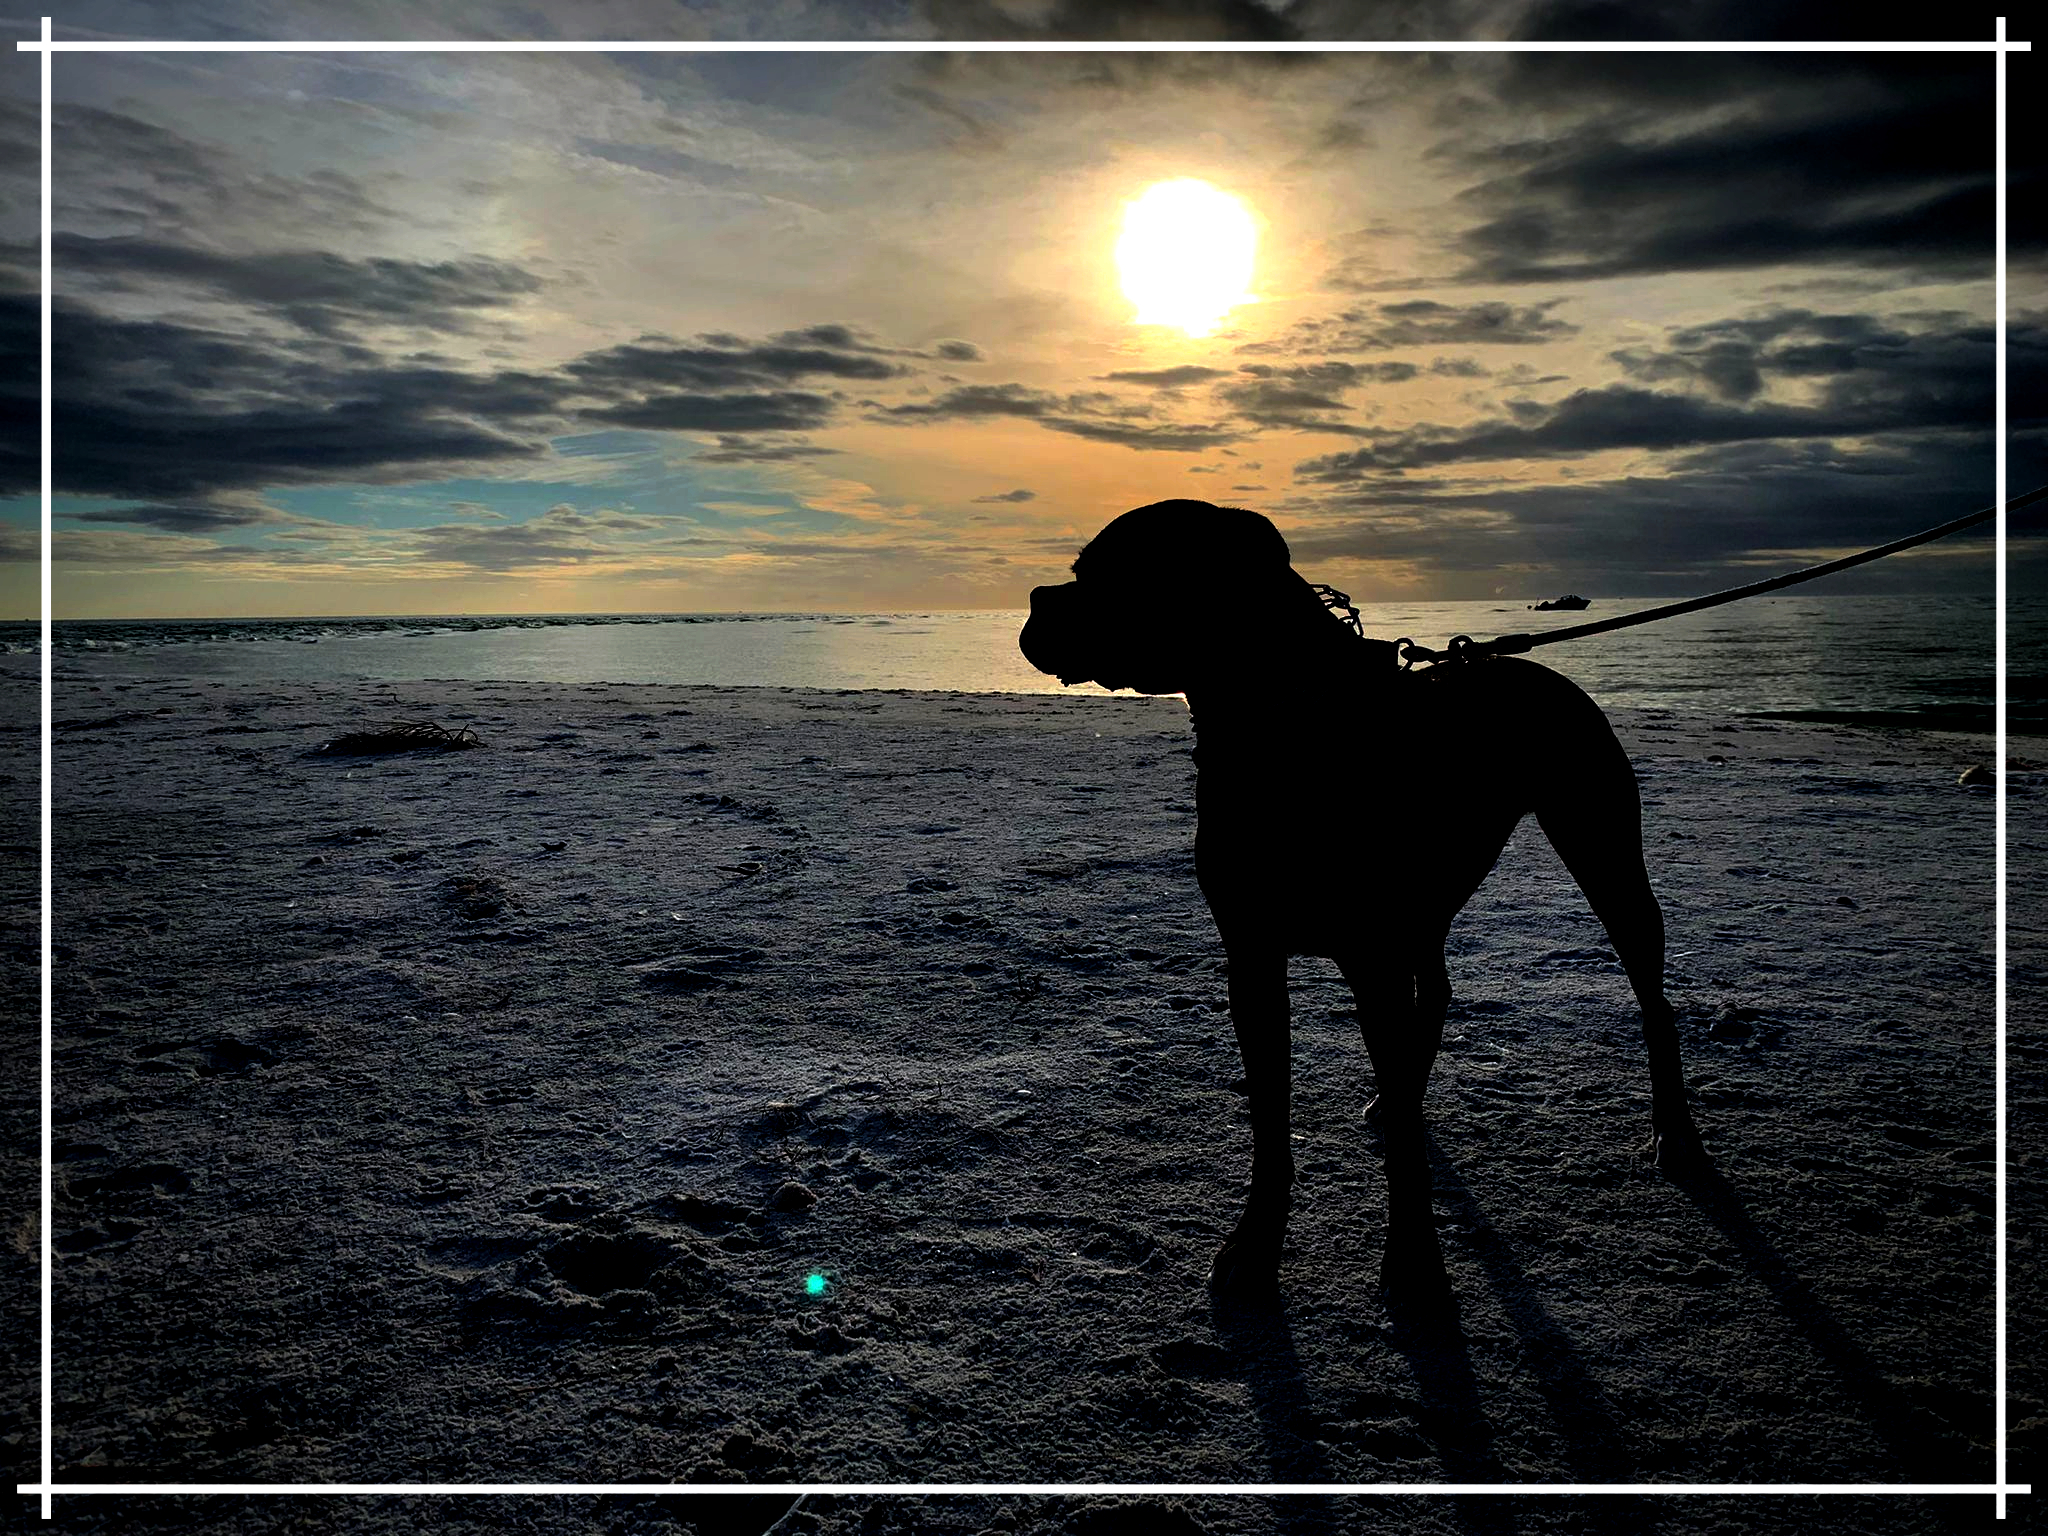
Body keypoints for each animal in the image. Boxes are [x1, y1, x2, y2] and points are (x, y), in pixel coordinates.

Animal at [1015, 499, 1703, 1302]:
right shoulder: (1253, 961)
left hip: (1602, 853)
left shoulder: (1368, 959)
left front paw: (1413, 1259)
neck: (1284, 723)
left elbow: (1399, 1140)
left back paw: (1673, 1127)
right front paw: (1257, 1240)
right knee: (1432, 993)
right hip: (1433, 904)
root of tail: (1532, 664)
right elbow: (1270, 1114)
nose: (1035, 598)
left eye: (1113, 573)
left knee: (1651, 994)